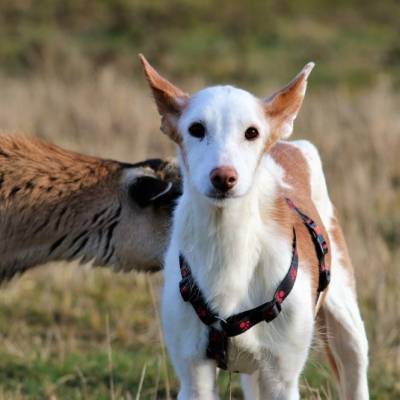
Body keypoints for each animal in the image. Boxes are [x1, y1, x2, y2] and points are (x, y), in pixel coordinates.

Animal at [140, 54, 368, 400]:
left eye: (251, 132)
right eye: (196, 129)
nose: (224, 177)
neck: (228, 240)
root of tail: (289, 144)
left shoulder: (281, 379)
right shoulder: (194, 375)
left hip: (347, 326)